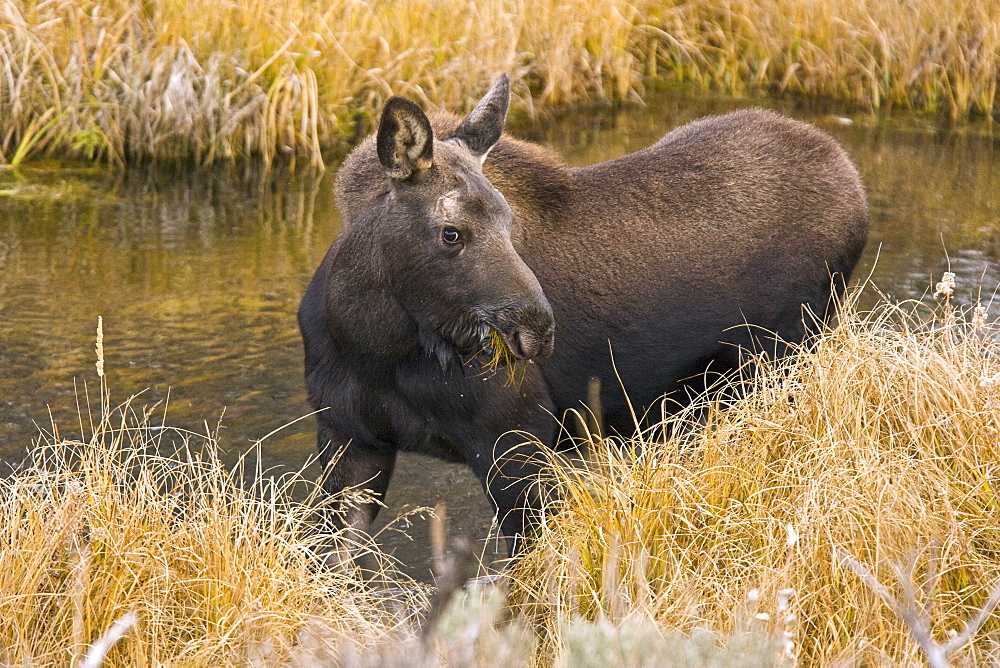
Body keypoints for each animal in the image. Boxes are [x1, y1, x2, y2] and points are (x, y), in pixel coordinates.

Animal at [296, 73, 868, 556]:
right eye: (450, 232)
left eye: (510, 223)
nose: (536, 328)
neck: (372, 343)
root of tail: (853, 183)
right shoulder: (349, 439)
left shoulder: (516, 438)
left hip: (784, 360)